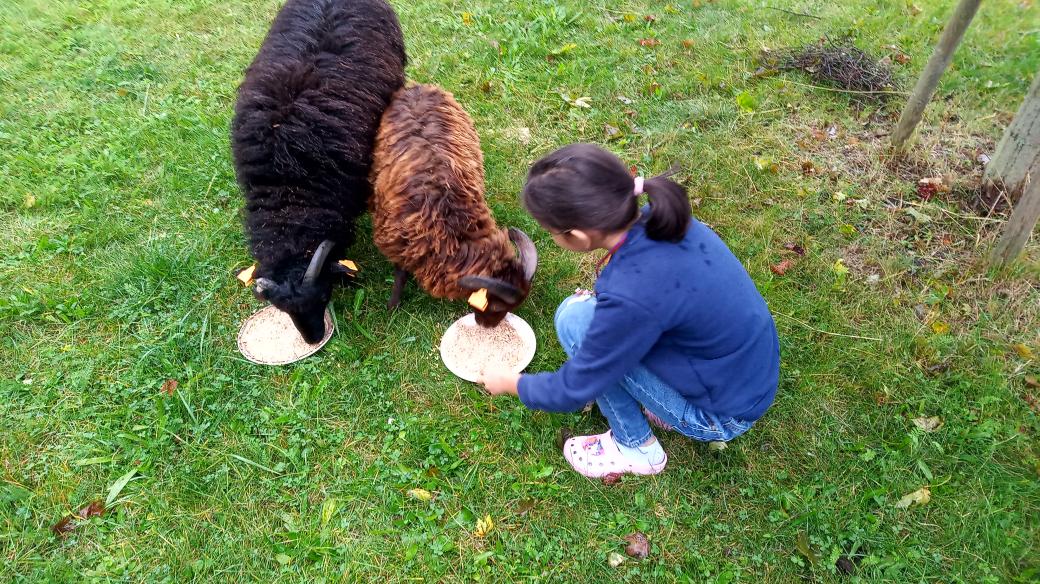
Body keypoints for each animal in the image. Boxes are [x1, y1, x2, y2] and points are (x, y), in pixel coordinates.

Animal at [370, 83, 536, 328]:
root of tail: (418, 87)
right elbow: (400, 274)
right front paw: (393, 306)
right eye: (496, 306)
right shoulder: (400, 243)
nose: (487, 326)